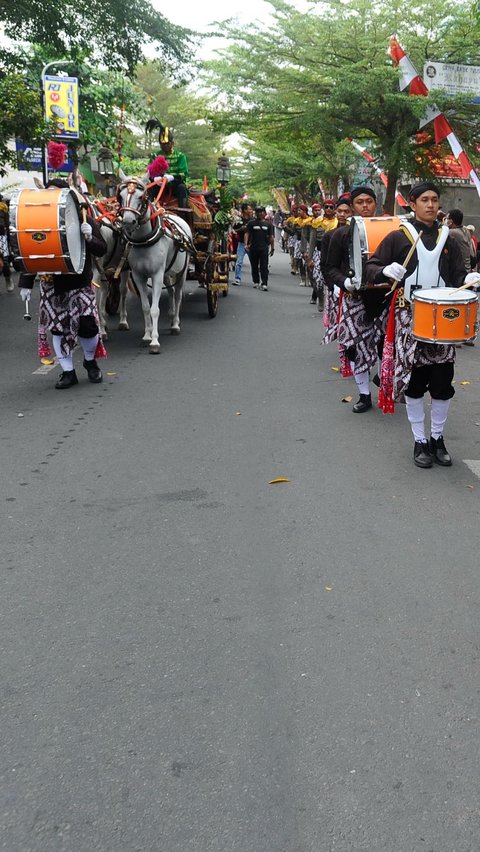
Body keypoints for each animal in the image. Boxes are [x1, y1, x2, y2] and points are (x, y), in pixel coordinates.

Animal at [117, 176, 194, 352]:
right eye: (121, 196)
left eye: (141, 197)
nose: (128, 222)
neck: (144, 241)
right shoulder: (138, 276)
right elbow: (146, 307)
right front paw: (147, 336)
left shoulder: (156, 275)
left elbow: (155, 309)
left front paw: (154, 341)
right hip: (167, 272)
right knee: (171, 291)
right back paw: (171, 317)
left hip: (182, 272)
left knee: (178, 295)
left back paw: (176, 324)